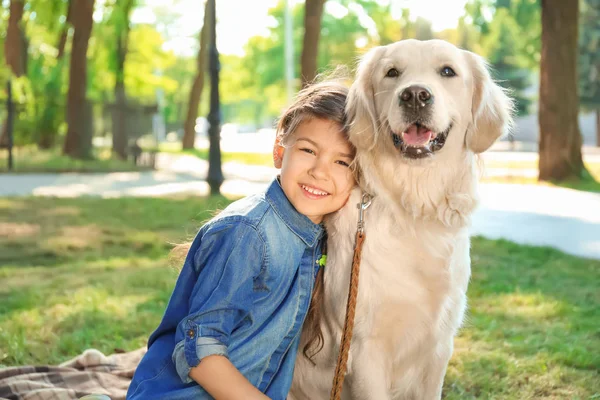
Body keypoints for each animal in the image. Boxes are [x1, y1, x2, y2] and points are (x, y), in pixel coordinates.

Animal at [288, 38, 512, 400]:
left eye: (447, 71)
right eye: (392, 72)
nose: (415, 95)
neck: (414, 210)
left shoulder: (438, 347)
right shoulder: (364, 348)